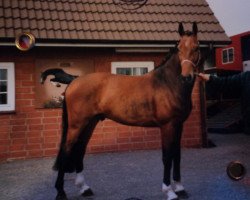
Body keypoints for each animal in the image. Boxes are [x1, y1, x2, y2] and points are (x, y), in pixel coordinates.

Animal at [53, 22, 202, 200]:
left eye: (196, 47)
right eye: (179, 48)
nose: (186, 77)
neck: (168, 83)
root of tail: (74, 81)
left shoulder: (179, 125)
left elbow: (177, 155)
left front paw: (180, 188)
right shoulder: (167, 126)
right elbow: (167, 157)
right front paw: (170, 191)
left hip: (89, 123)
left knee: (80, 149)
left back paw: (84, 188)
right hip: (76, 125)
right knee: (66, 150)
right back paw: (61, 192)